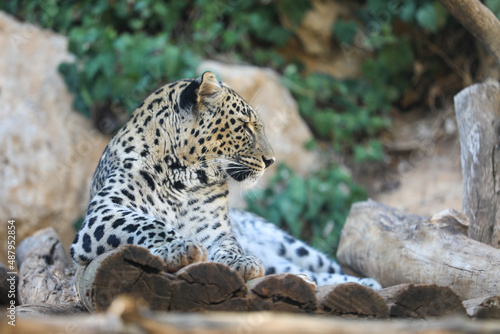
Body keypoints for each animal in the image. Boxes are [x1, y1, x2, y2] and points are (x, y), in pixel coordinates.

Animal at [70, 71, 380, 290]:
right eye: (245, 126)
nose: (272, 161)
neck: (182, 179)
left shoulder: (216, 232)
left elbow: (229, 245)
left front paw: (240, 260)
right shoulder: (103, 212)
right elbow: (147, 223)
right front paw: (179, 247)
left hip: (293, 246)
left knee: (327, 268)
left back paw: (366, 282)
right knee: (306, 274)